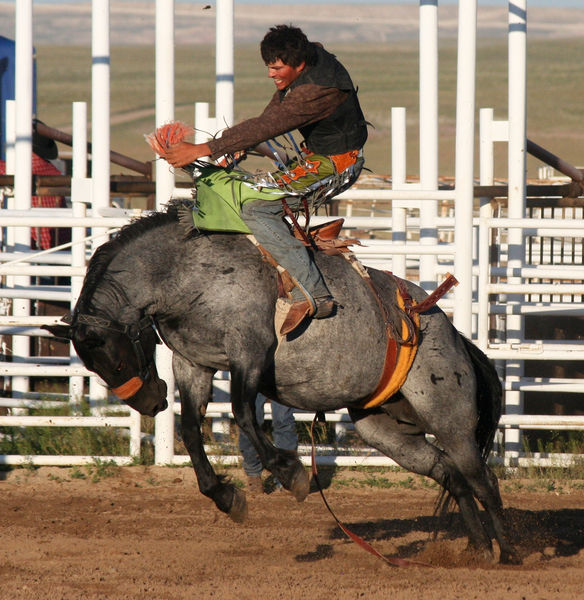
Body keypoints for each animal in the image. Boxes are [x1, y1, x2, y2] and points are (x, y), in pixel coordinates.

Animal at [45, 205, 520, 564]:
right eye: (96, 367)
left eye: (115, 355)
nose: (148, 403)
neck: (191, 273)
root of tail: (451, 332)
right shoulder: (193, 363)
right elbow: (191, 430)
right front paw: (226, 496)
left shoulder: (249, 352)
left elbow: (242, 413)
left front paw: (291, 474)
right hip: (383, 429)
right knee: (450, 475)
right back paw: (478, 549)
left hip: (449, 416)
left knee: (482, 480)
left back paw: (510, 553)